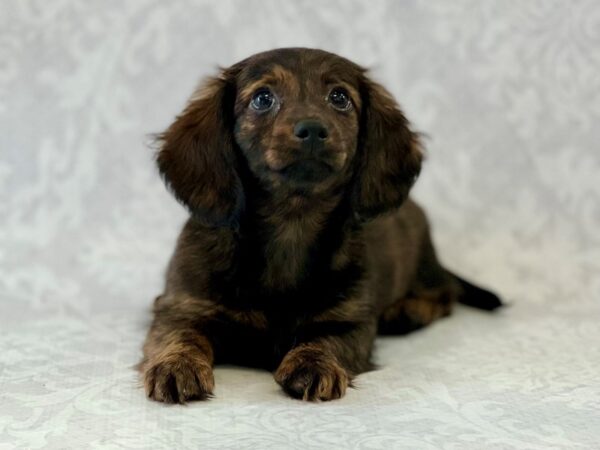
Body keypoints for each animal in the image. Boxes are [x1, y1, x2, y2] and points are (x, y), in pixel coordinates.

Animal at [141, 47, 502, 402]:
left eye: (339, 97)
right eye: (262, 98)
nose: (312, 129)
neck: (291, 226)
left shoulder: (350, 322)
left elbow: (325, 341)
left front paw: (313, 365)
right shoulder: (180, 306)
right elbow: (181, 336)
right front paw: (177, 365)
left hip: (425, 268)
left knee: (447, 293)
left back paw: (408, 311)